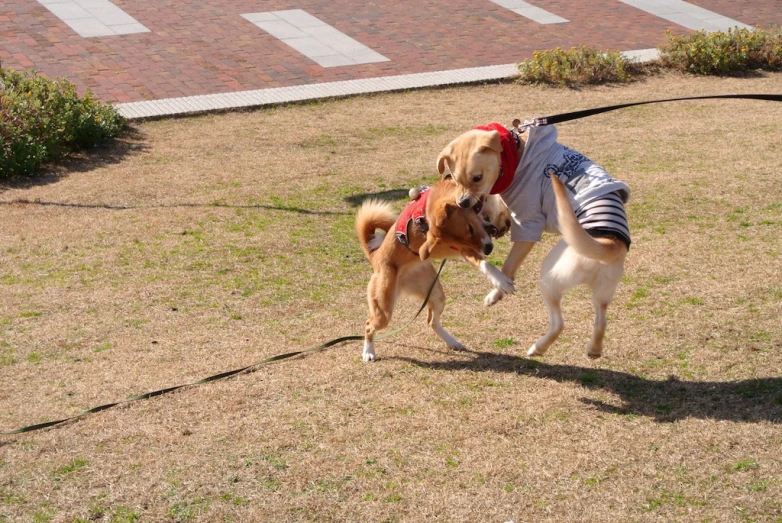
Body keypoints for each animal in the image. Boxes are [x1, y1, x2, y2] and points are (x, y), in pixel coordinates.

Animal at [356, 178, 516, 362]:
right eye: (467, 231)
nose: (488, 249)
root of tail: (374, 256)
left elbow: (483, 263)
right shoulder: (467, 249)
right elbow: (486, 264)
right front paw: (502, 282)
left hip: (437, 295)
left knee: (432, 321)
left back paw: (452, 342)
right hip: (384, 311)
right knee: (369, 326)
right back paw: (368, 352)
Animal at [438, 124, 632, 358]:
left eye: (477, 178)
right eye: (456, 180)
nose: (463, 203)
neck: (517, 153)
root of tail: (608, 244)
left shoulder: (527, 222)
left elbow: (508, 267)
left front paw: (497, 292)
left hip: (549, 278)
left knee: (559, 324)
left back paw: (536, 348)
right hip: (603, 292)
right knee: (601, 322)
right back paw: (593, 350)